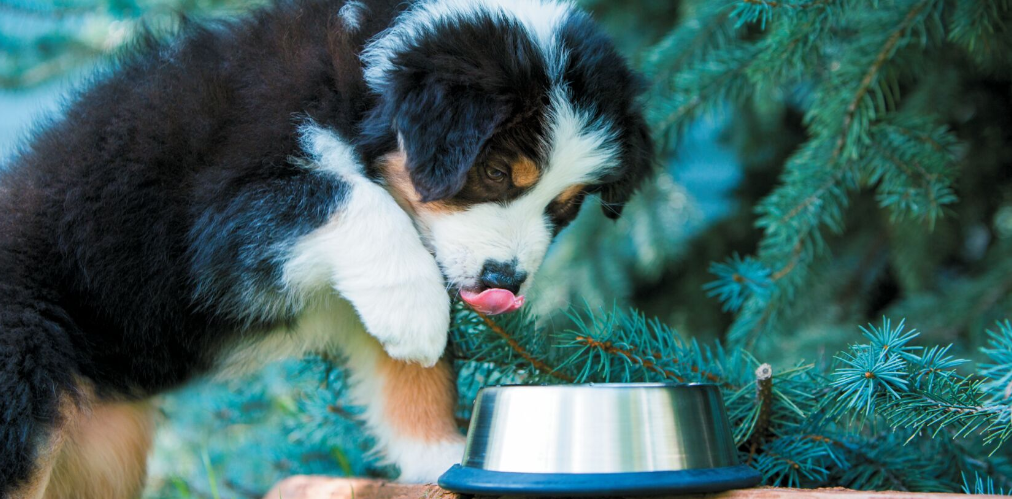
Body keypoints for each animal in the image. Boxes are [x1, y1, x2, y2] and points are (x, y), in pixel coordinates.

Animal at [0, 0, 647, 493]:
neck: (357, 86)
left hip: (103, 449)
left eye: (565, 207)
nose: (504, 281)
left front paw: (441, 456)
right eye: (493, 173)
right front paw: (416, 318)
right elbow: (345, 197)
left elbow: (411, 380)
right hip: (24, 378)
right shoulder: (219, 217)